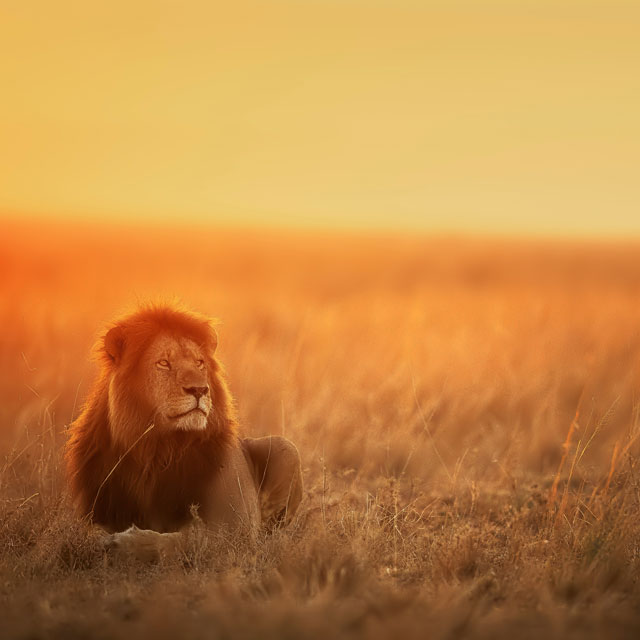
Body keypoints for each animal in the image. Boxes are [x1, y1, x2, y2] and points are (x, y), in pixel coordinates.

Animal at [65, 304, 303, 558]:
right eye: (163, 363)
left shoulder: (235, 529)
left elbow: (186, 540)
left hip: (285, 448)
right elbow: (85, 533)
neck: (158, 449)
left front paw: (125, 543)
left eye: (199, 362)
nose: (199, 389)